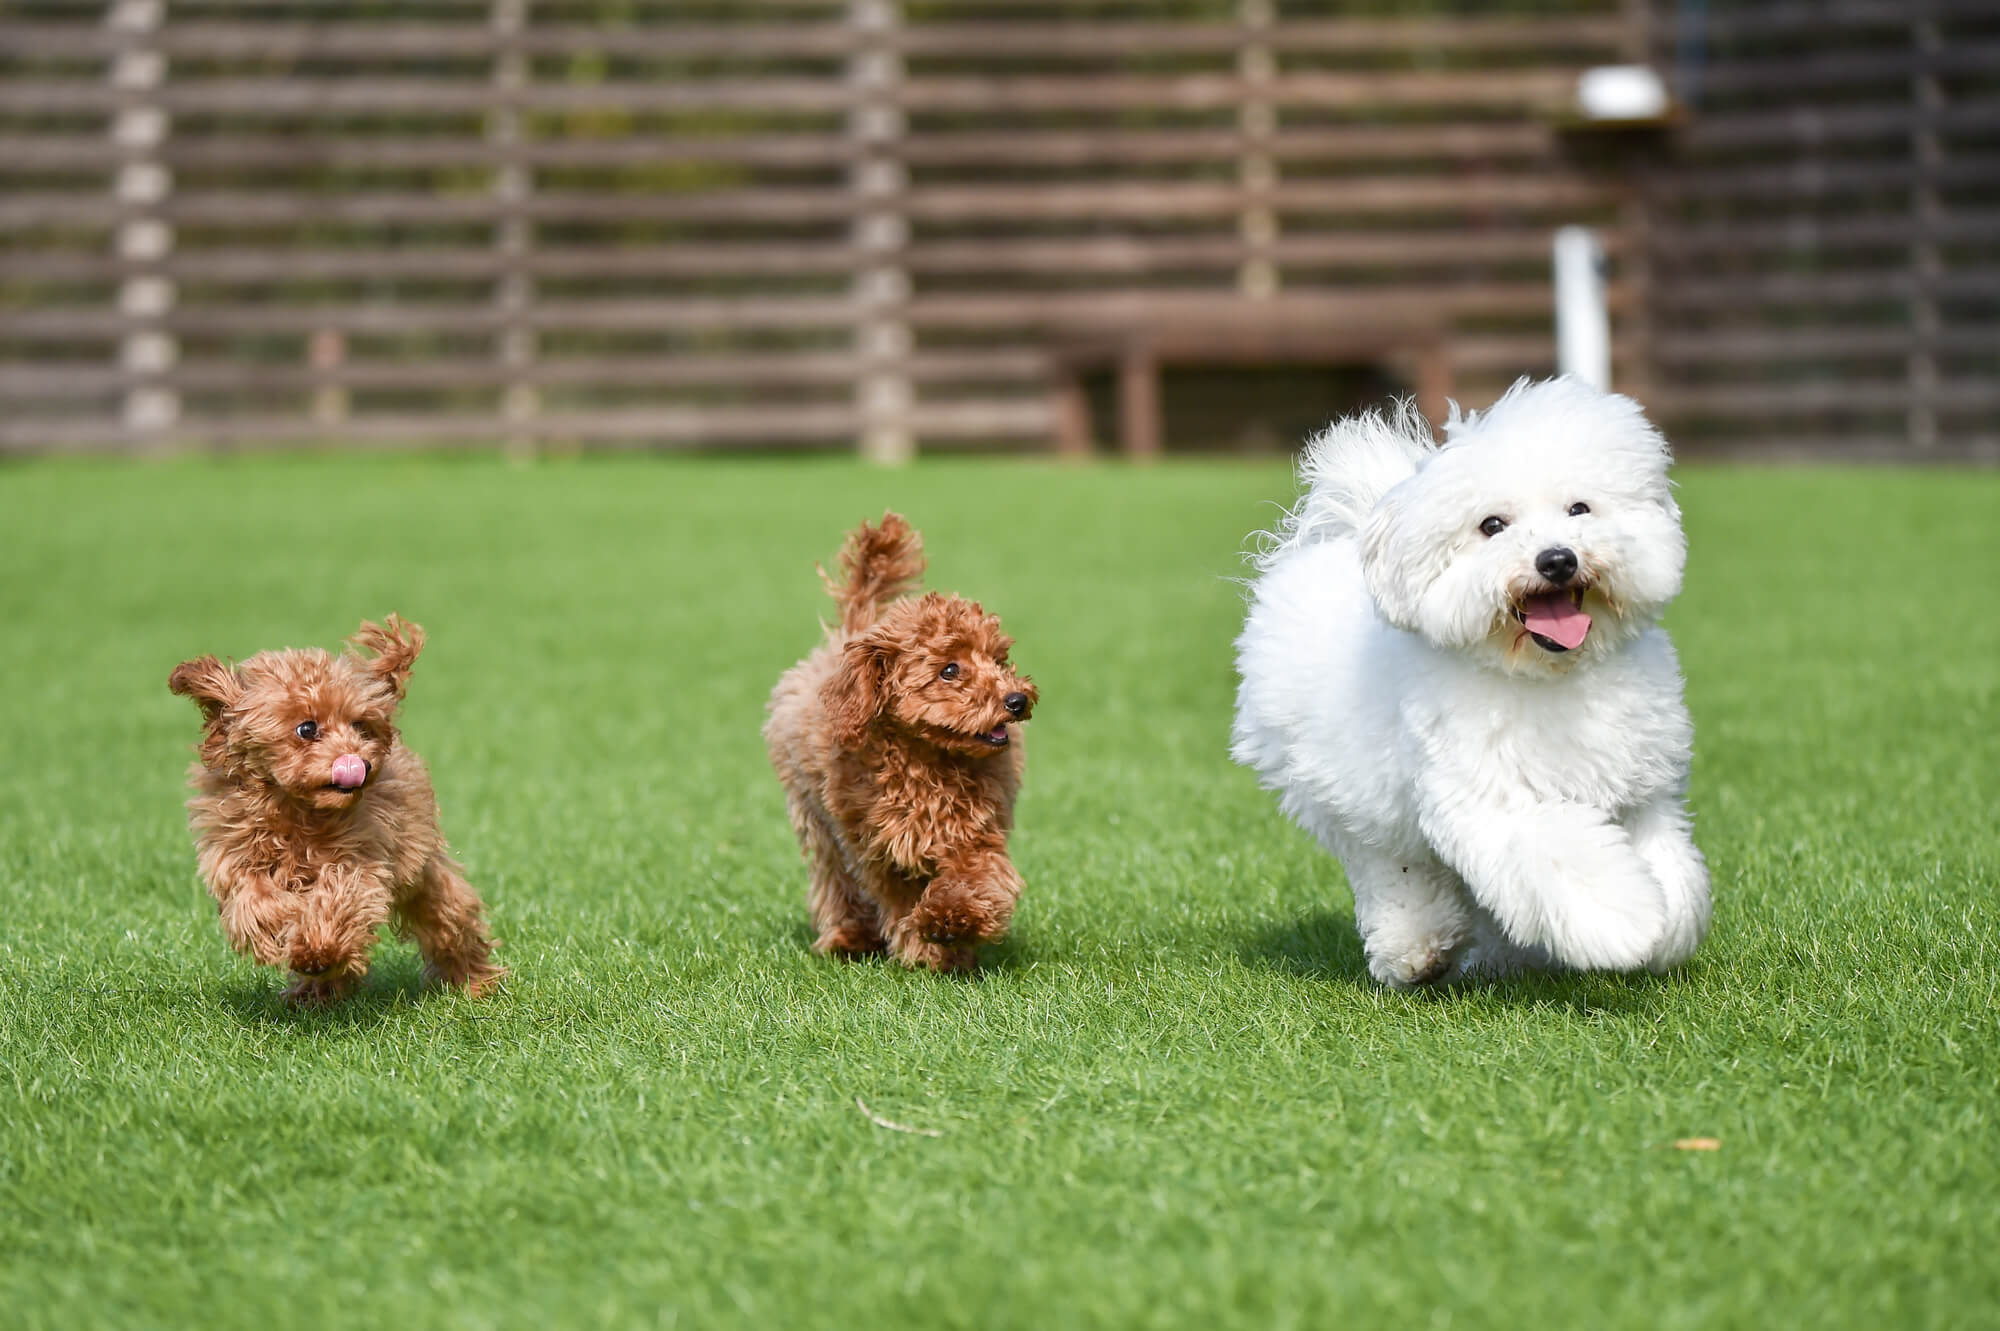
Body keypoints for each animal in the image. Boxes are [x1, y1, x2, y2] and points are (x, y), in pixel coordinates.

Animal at [168, 615, 504, 999]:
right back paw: (316, 995)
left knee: (450, 920)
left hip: (422, 869)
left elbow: (339, 898)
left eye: (360, 725)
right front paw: (288, 933)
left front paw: (318, 949)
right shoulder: (236, 858)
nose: (360, 764)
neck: (297, 810)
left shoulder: (360, 860)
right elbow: (255, 902)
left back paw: (473, 981)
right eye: (306, 728)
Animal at [764, 511, 1040, 971]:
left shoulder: (975, 831)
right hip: (815, 819)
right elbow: (899, 898)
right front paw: (927, 952)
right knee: (834, 880)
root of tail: (855, 628)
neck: (926, 759)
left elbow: (978, 874)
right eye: (949, 670)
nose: (1016, 700)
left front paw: (954, 922)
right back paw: (848, 937)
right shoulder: (881, 847)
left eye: (999, 660)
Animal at [1224, 373, 1712, 983]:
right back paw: (1416, 948)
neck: (1546, 675)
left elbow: (1670, 865)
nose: (1557, 559)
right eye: (1492, 526)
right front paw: (1625, 923)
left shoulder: (1642, 791)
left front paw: (1669, 923)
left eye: (1579, 509)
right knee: (1392, 867)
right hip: (1340, 794)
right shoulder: (1493, 803)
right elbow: (1563, 858)